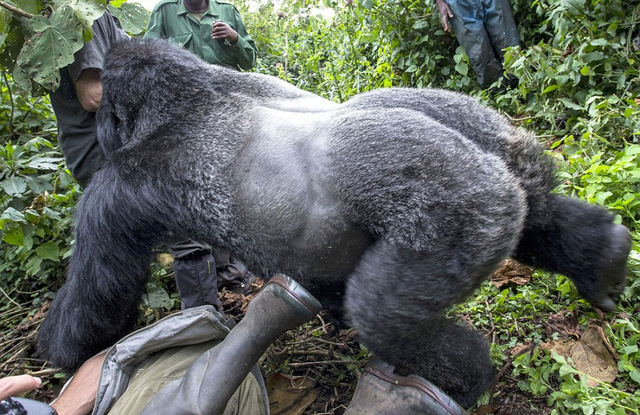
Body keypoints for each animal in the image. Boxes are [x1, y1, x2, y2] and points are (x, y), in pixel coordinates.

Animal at [37, 39, 632, 412]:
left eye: (104, 117)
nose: (99, 127)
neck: (190, 96)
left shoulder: (117, 192)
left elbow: (96, 294)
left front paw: (57, 355)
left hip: (463, 208)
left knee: (385, 316)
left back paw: (463, 379)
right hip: (500, 146)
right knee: (539, 211)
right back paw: (601, 257)